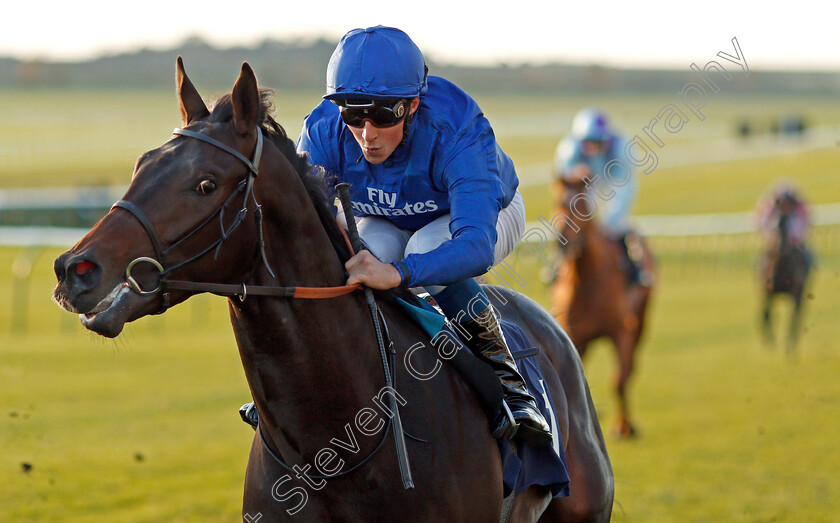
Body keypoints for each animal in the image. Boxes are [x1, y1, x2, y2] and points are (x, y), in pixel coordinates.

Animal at [548, 177, 660, 438]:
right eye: (558, 200)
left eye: (582, 206)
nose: (562, 240)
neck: (588, 281)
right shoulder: (574, 335)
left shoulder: (621, 332)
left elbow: (618, 380)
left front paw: (624, 427)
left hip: (641, 320)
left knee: (630, 368)